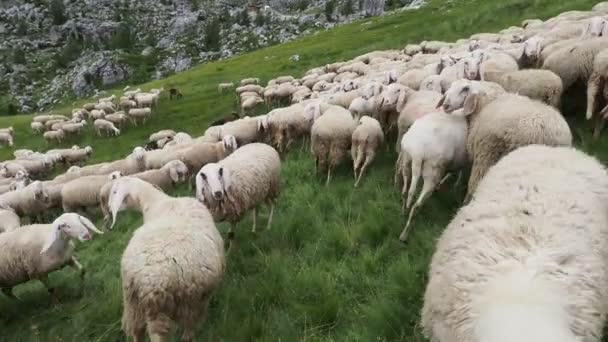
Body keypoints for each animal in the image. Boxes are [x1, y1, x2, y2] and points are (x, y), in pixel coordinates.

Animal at [103, 176, 224, 342]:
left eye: (114, 191)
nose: (108, 209)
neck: (158, 202)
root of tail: (149, 284)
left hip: (135, 306)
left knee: (138, 333)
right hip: (188, 305)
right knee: (187, 333)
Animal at [396, 111, 468, 242]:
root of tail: (418, 151)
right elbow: (459, 173)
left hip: (407, 160)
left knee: (405, 191)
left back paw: (403, 211)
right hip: (432, 172)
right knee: (416, 206)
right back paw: (404, 235)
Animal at [440, 81, 572, 202]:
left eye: (465, 89)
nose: (445, 105)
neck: (487, 101)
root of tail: (551, 135)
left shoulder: (484, 155)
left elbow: (474, 184)